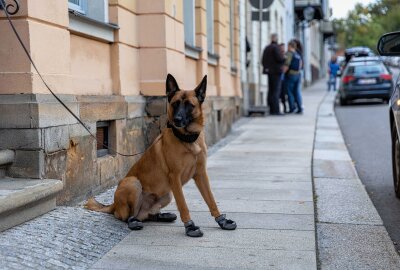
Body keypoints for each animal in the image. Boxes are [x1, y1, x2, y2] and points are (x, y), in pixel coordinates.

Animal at [83, 73, 234, 236]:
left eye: (189, 105)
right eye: (175, 104)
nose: (177, 119)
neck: (187, 139)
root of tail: (113, 205)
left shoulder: (201, 175)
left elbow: (211, 199)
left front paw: (222, 220)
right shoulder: (175, 178)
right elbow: (183, 205)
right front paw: (190, 226)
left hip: (167, 194)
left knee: (147, 215)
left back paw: (162, 215)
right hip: (134, 184)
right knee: (128, 216)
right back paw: (133, 222)